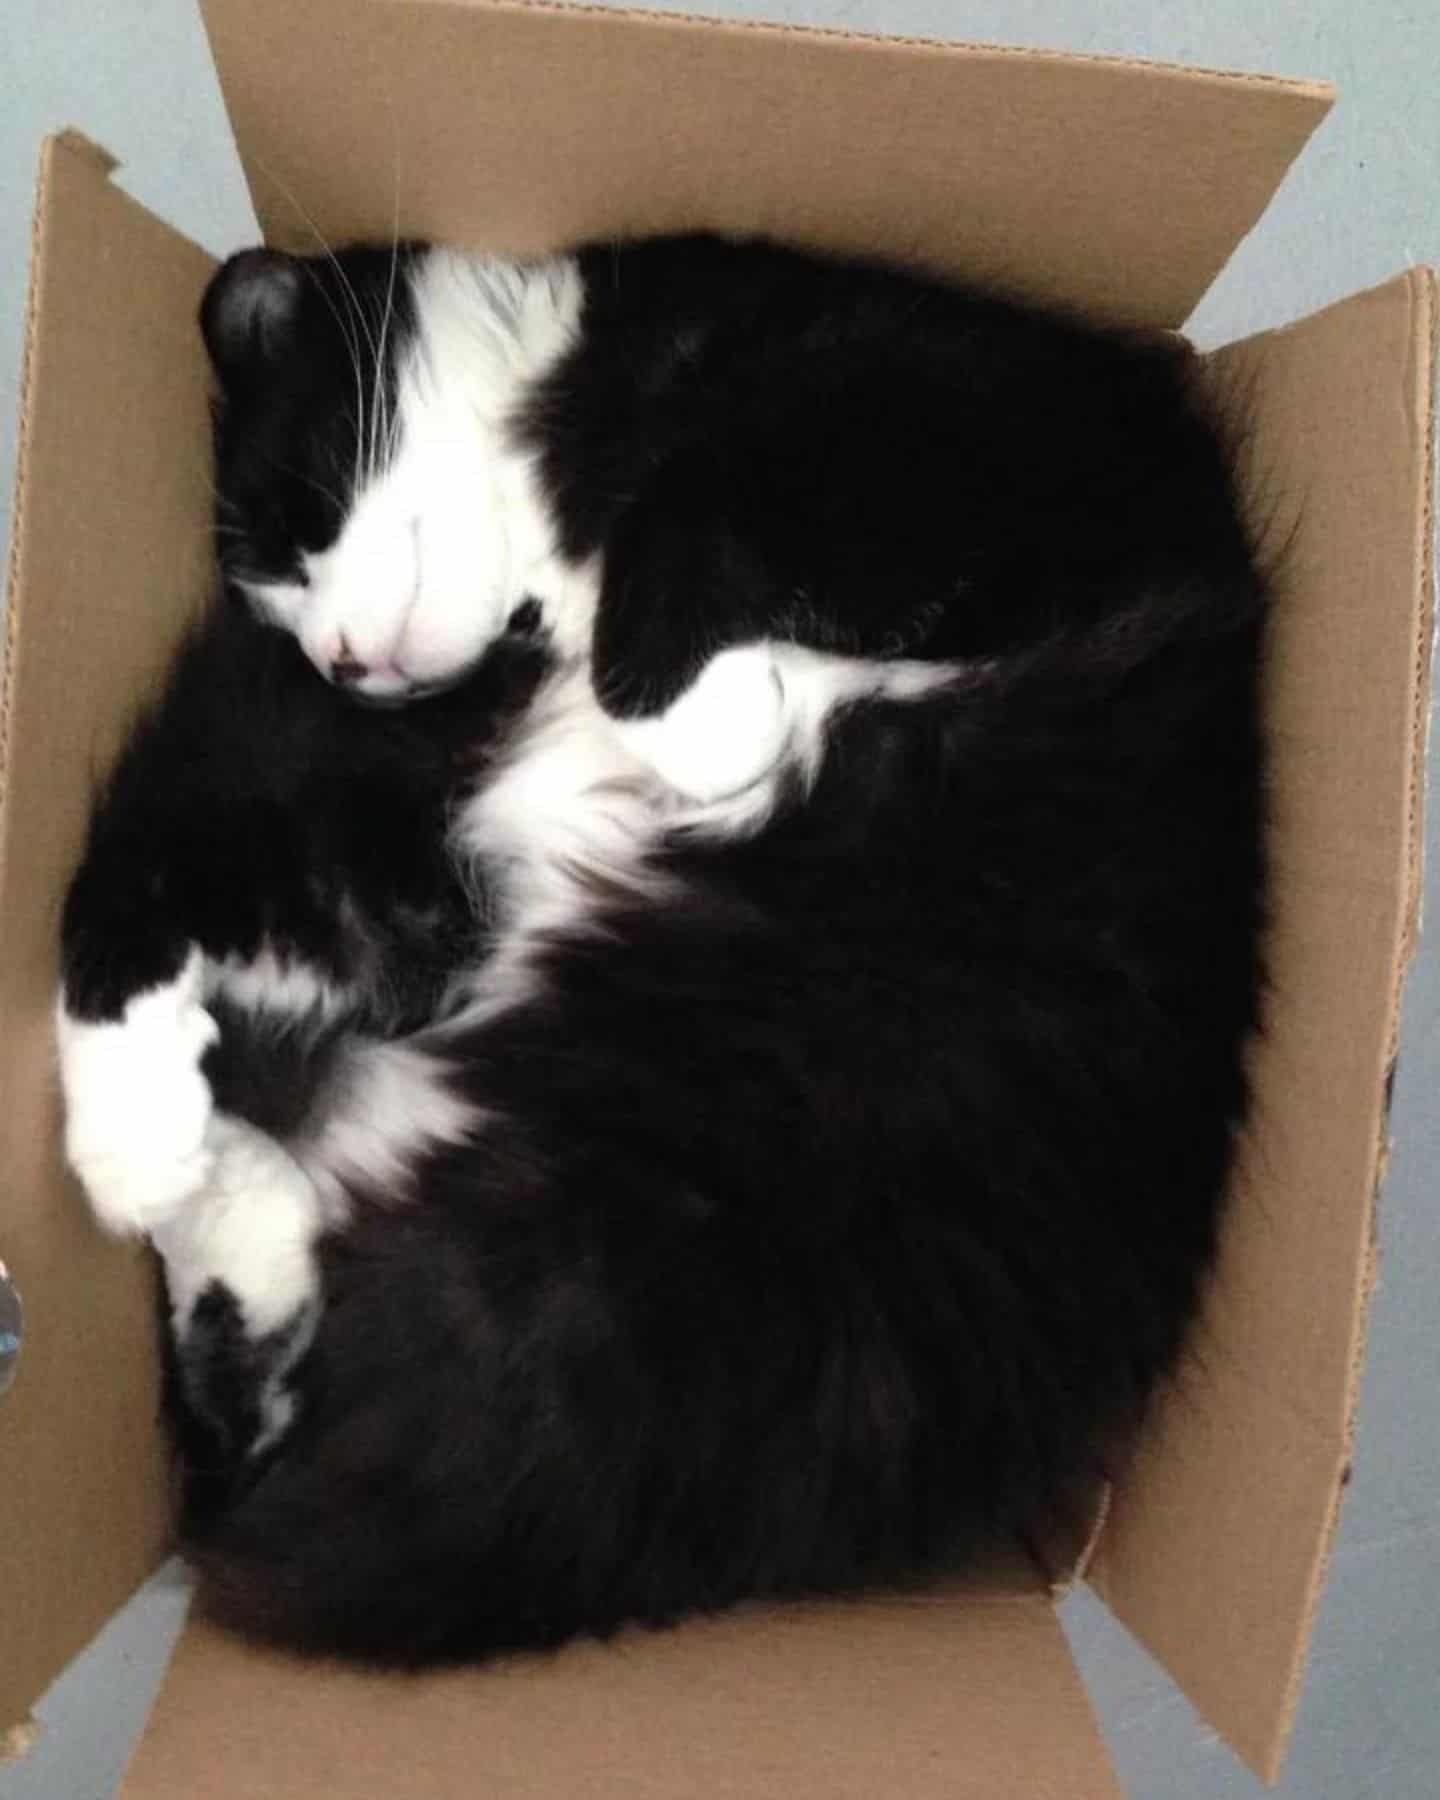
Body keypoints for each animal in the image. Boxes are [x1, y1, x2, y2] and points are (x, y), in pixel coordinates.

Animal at [62, 232, 1267, 1663]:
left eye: (295, 537)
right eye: (271, 595)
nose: (340, 664)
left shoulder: (947, 408)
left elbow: (691, 520)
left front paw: (720, 723)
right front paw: (131, 1144)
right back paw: (204, 1182)